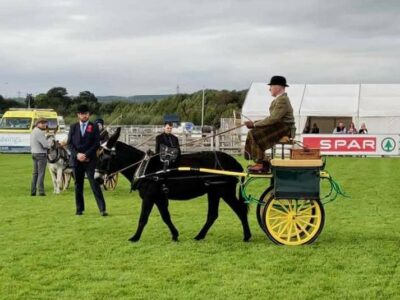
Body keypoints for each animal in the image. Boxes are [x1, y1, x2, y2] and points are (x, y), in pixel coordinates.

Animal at [94, 130, 250, 243]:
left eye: (103, 157)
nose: (97, 178)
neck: (144, 167)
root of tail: (235, 163)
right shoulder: (159, 198)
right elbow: (165, 216)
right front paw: (175, 235)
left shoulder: (149, 197)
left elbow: (143, 218)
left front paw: (135, 237)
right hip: (214, 192)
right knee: (212, 215)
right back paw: (199, 236)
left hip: (225, 191)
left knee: (240, 210)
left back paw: (247, 236)